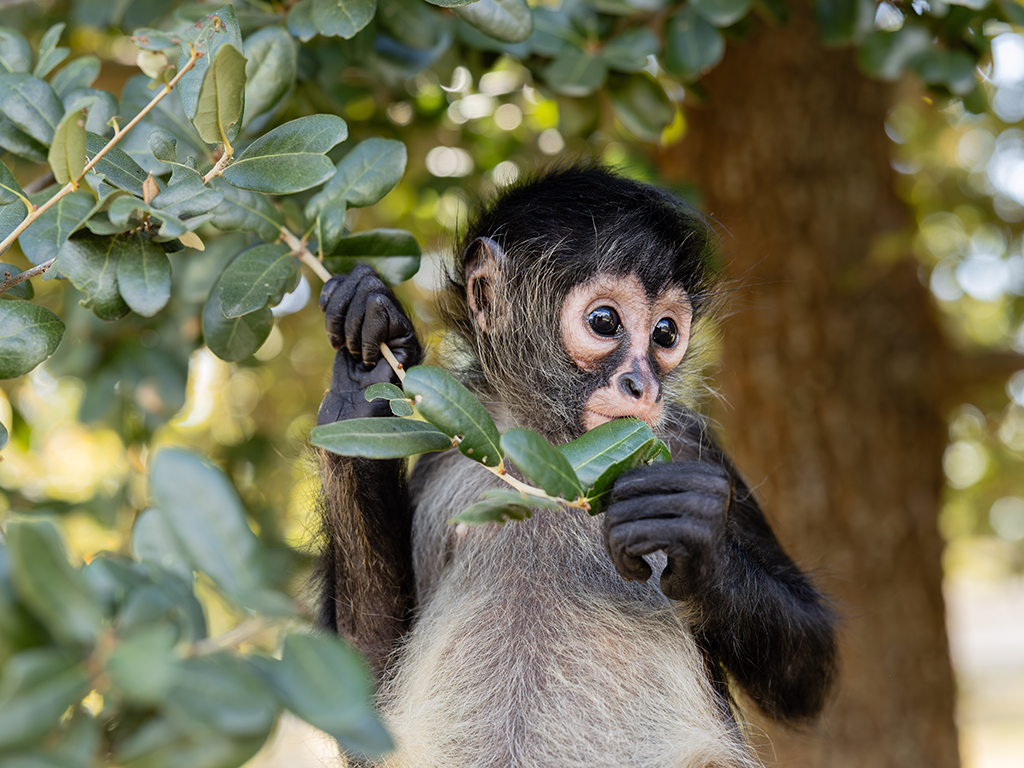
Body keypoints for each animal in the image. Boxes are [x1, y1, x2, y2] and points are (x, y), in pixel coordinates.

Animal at [314, 164, 837, 768]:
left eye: (665, 333)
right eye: (605, 321)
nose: (643, 386)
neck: (547, 452)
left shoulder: (688, 444)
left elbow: (807, 671)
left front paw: (692, 532)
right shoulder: (443, 459)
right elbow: (362, 700)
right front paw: (362, 382)